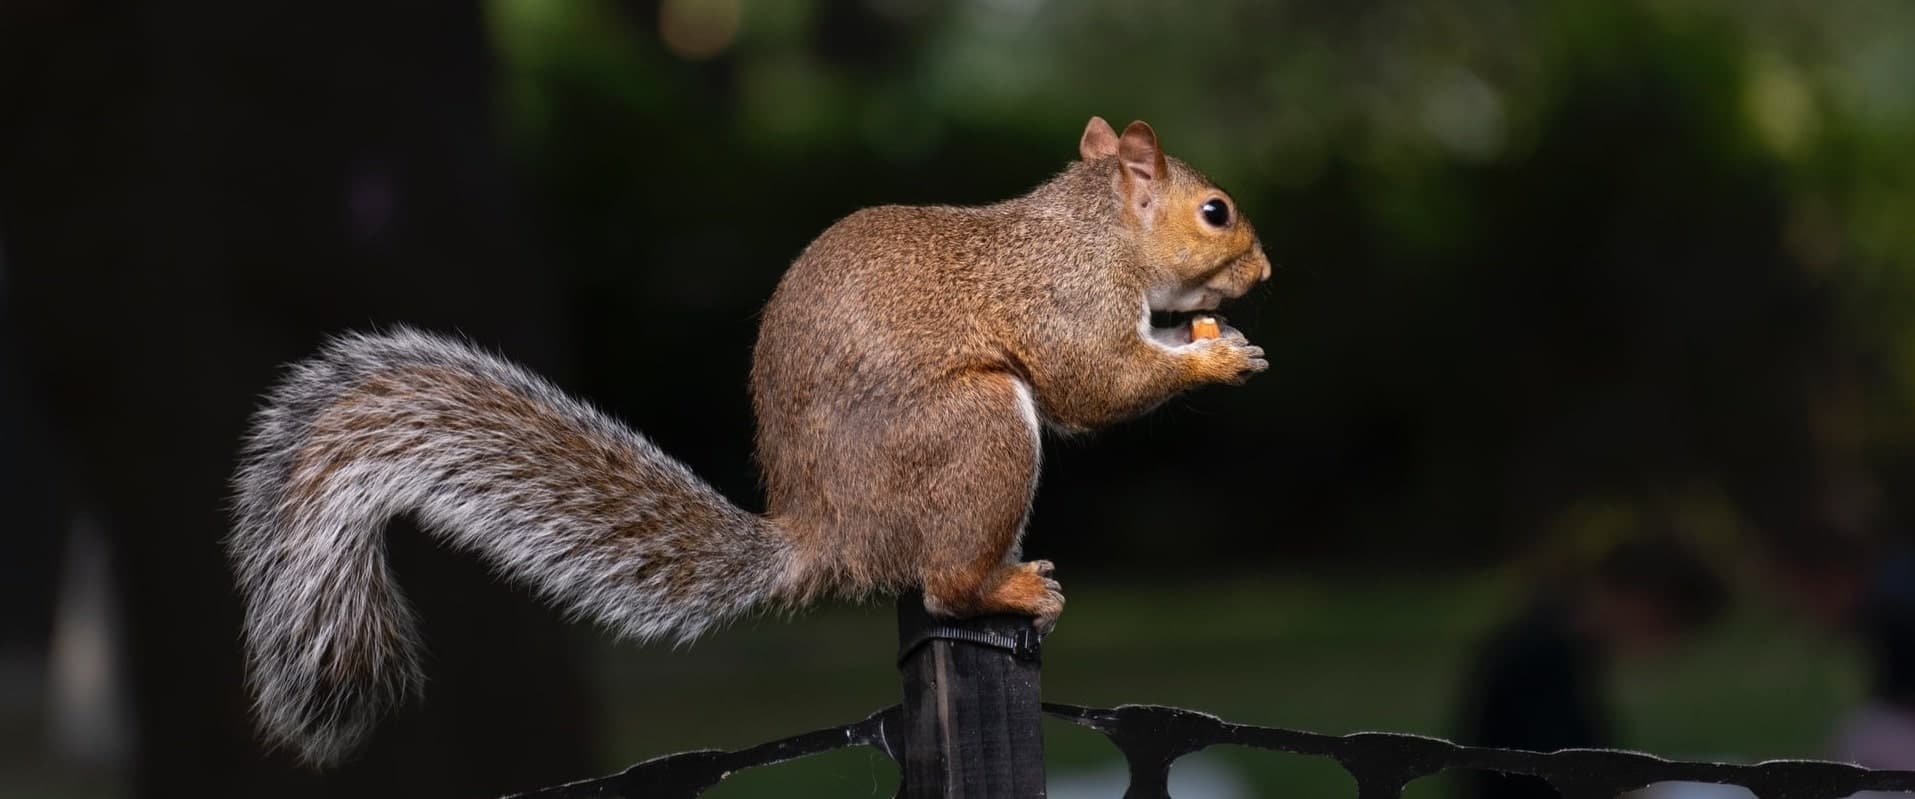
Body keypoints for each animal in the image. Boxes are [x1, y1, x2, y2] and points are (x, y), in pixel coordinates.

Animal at [224, 116, 1271, 758]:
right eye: (1215, 211)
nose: (1262, 270)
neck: (1094, 233)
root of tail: (829, 538)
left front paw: (1214, 339)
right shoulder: (1064, 307)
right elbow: (1096, 383)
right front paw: (1214, 360)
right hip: (975, 431)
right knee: (945, 579)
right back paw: (1008, 586)